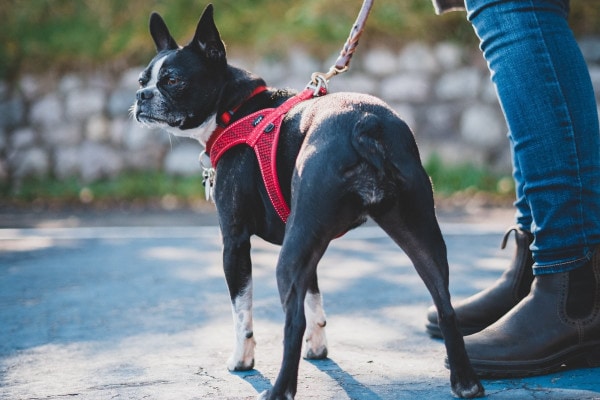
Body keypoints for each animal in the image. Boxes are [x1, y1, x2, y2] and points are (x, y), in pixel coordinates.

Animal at [131, 3, 482, 400]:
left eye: (172, 81)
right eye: (142, 81)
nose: (141, 97)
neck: (233, 108)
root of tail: (365, 125)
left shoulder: (235, 242)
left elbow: (242, 311)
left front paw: (242, 359)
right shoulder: (306, 242)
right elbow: (314, 295)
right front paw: (319, 347)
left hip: (292, 252)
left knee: (291, 324)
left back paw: (279, 390)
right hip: (413, 231)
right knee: (445, 303)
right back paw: (466, 382)